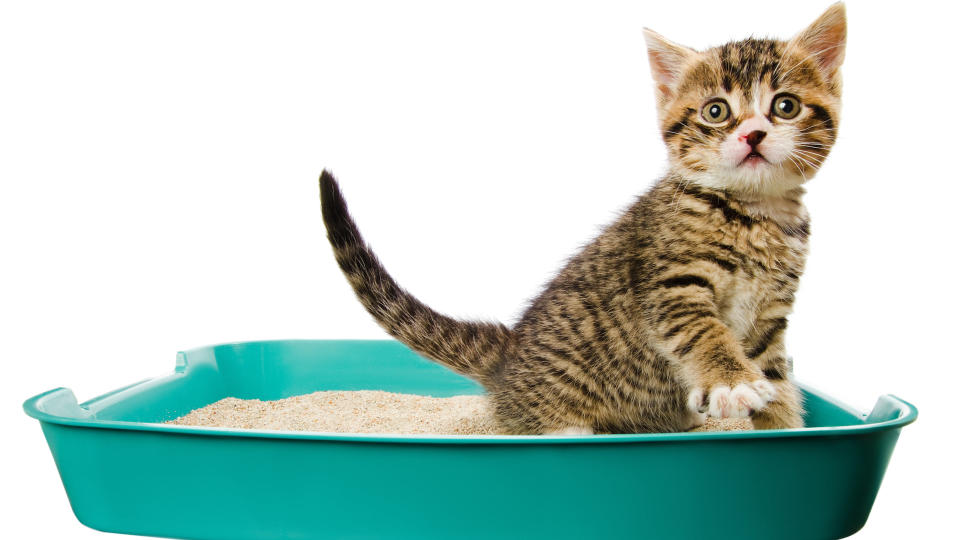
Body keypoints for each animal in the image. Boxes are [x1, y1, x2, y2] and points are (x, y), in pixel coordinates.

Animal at [318, 4, 844, 434]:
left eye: (785, 106)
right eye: (716, 111)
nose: (753, 134)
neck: (754, 214)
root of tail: (510, 355)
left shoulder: (771, 314)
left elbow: (776, 373)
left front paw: (784, 430)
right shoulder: (672, 284)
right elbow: (703, 332)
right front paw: (733, 382)